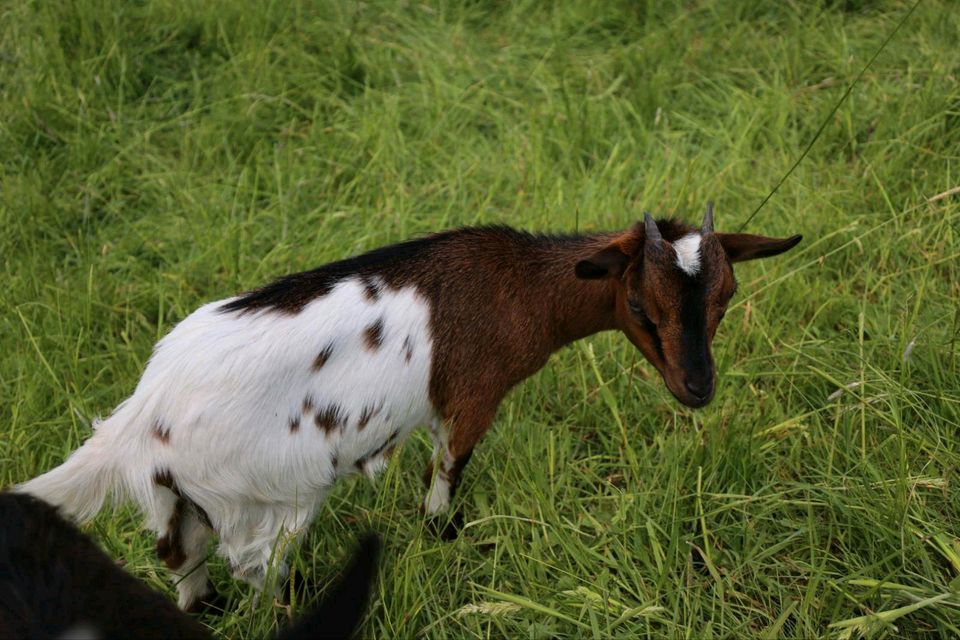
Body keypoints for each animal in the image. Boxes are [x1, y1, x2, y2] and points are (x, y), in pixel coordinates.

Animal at [18, 206, 804, 608]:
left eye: (727, 296)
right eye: (641, 306)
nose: (697, 389)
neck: (520, 290)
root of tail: (144, 414)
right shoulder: (472, 396)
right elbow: (447, 472)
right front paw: (443, 538)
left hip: (178, 495)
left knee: (180, 556)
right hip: (268, 491)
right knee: (254, 565)